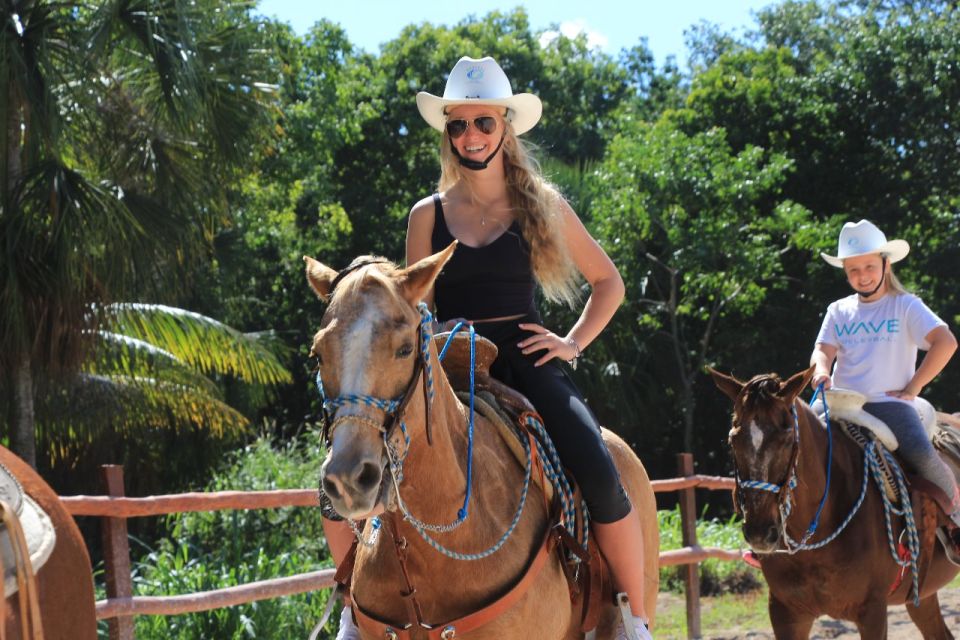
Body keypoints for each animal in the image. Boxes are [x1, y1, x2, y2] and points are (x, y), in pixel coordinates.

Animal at [708, 364, 956, 640]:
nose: (760, 532)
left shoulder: (873, 612)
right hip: (921, 595)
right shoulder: (785, 613)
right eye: (734, 437)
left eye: (787, 435)